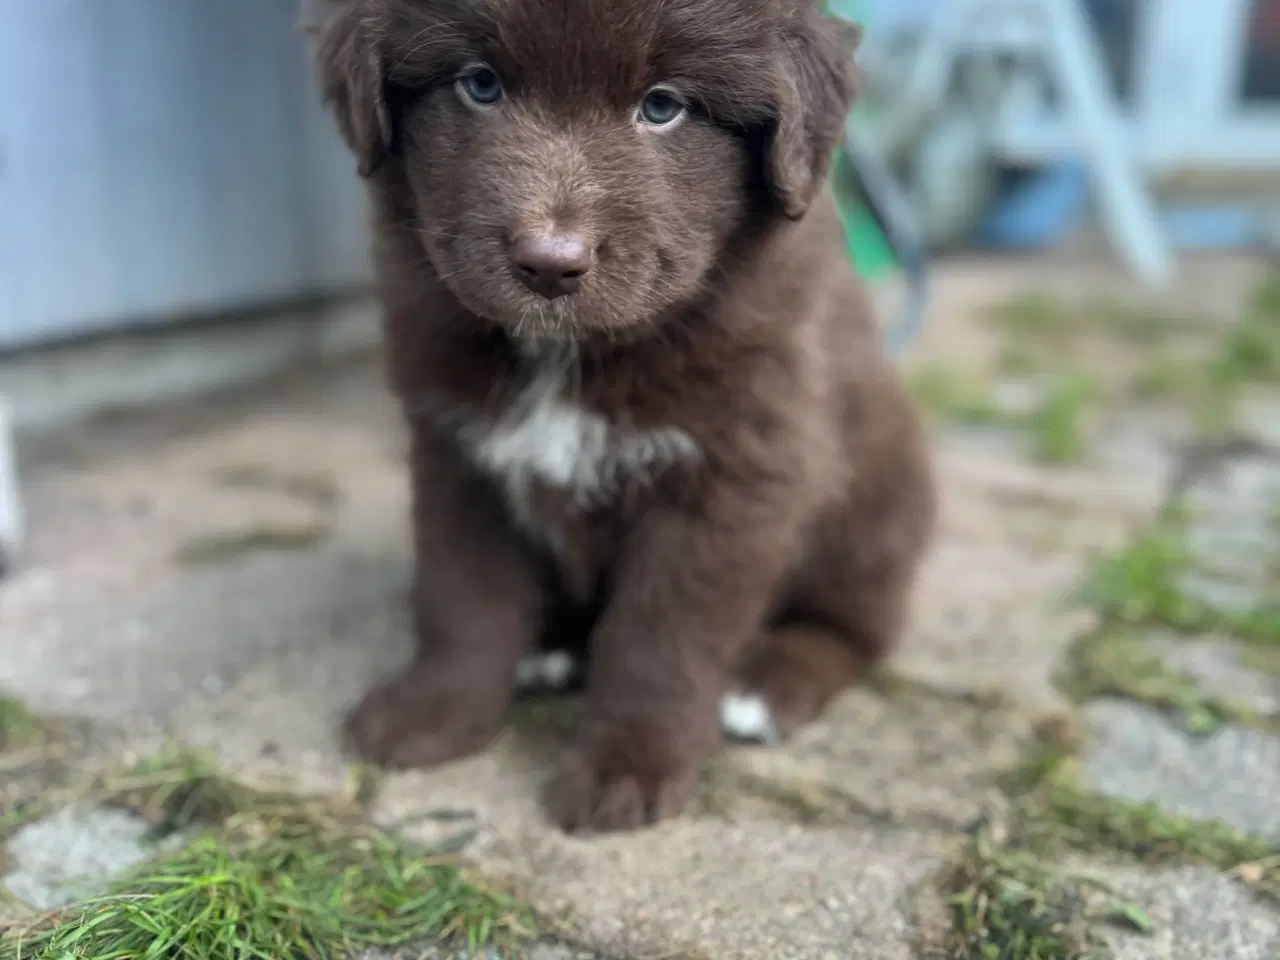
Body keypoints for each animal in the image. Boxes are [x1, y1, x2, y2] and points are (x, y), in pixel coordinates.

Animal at [304, 0, 936, 834]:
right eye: (480, 84)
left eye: (662, 106)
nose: (549, 263)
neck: (570, 356)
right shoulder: (458, 452)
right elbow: (461, 595)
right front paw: (436, 713)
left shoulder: (730, 477)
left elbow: (661, 637)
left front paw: (626, 766)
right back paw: (552, 647)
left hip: (878, 503)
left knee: (858, 628)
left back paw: (767, 684)